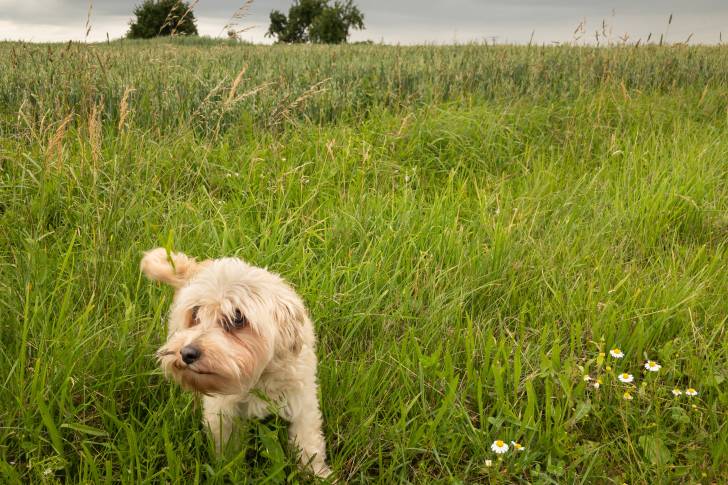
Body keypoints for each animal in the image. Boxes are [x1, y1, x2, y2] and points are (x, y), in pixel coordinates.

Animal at [140, 246, 332, 476]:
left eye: (237, 318)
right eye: (195, 313)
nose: (187, 353)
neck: (258, 378)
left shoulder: (304, 400)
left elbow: (308, 442)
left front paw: (316, 473)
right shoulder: (221, 411)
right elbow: (227, 449)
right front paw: (228, 470)